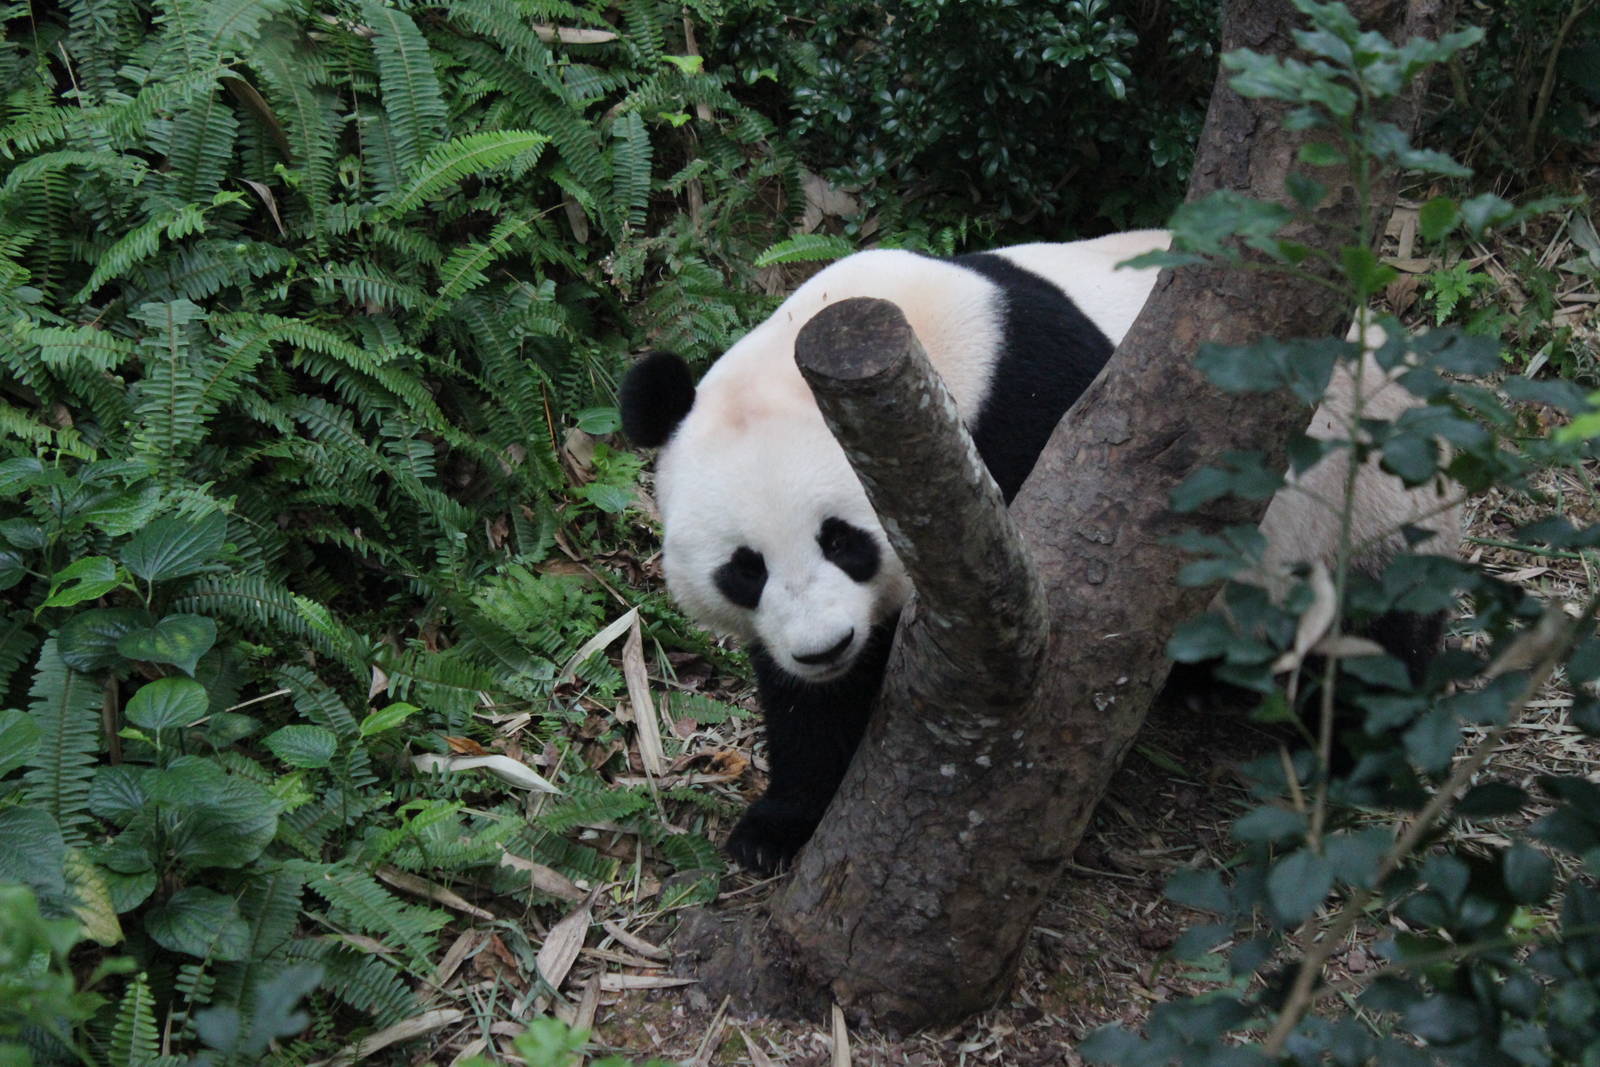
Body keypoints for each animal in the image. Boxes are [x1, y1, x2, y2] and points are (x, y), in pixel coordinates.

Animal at [620, 231, 1458, 874]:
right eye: (745, 567)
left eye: (844, 539)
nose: (825, 646)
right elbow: (806, 704)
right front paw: (776, 826)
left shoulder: (1036, 428)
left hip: (1360, 506)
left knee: (1375, 638)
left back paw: (1356, 758)